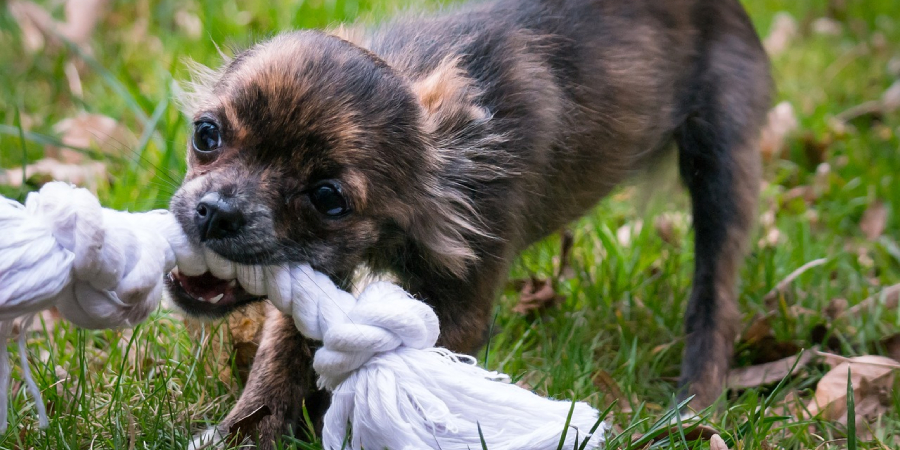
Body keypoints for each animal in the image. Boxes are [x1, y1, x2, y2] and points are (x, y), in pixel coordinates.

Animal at [165, 0, 768, 446]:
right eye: (206, 134)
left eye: (328, 199)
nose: (216, 212)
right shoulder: (319, 275)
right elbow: (280, 357)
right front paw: (246, 433)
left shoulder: (460, 303)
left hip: (722, 166)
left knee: (717, 297)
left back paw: (695, 404)